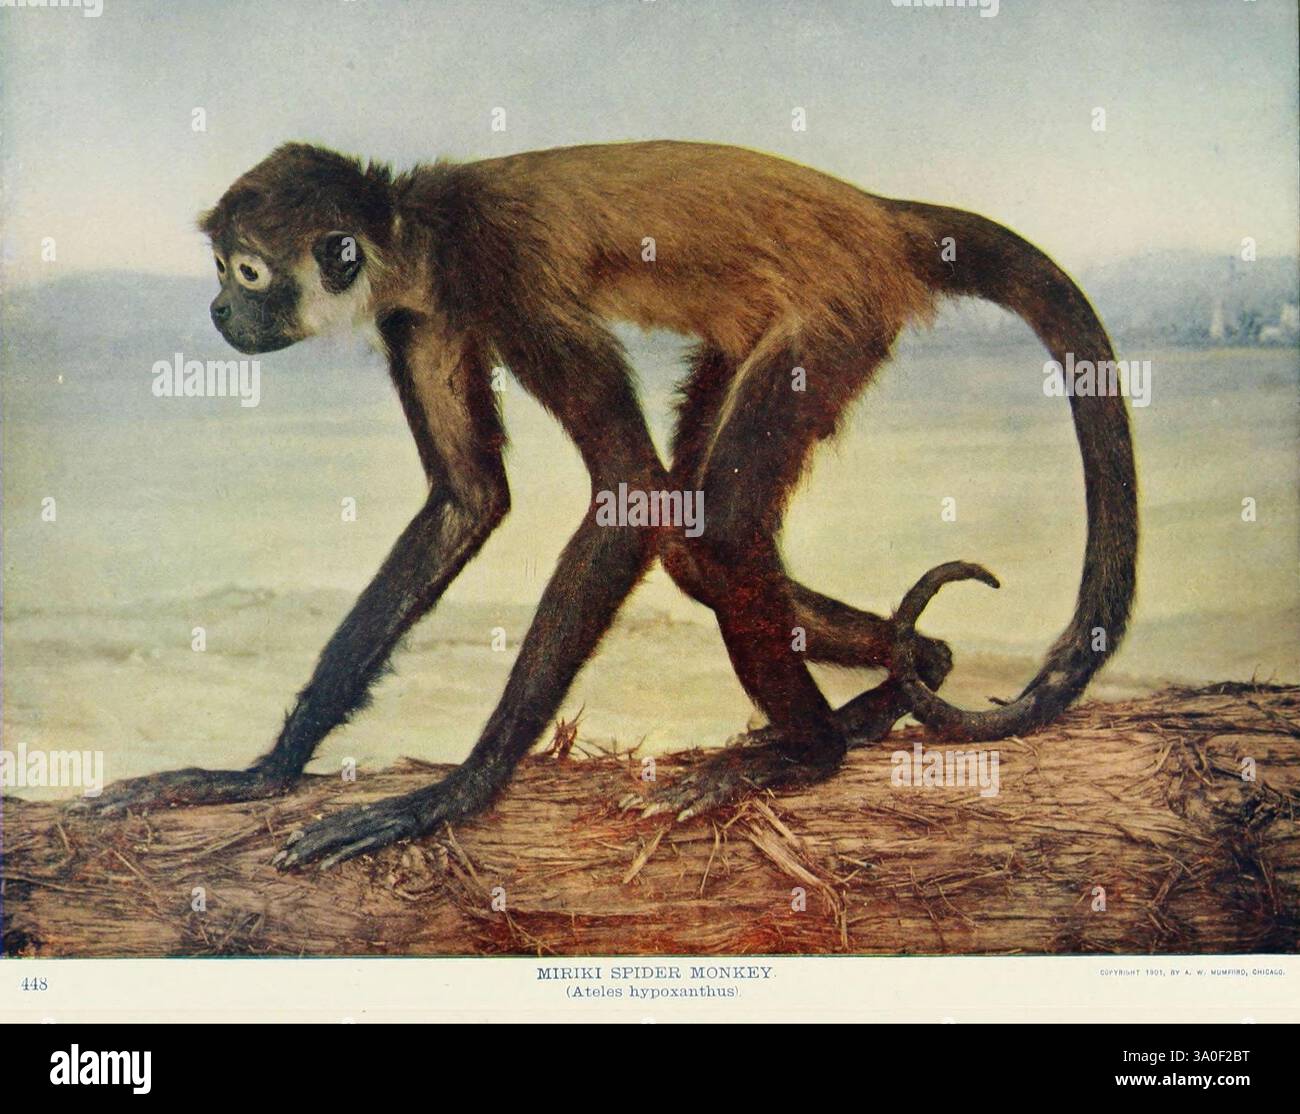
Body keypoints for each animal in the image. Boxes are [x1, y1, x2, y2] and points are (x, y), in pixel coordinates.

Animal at [79, 140, 1137, 869]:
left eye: (245, 270)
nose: (218, 311)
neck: (425, 229)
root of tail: (879, 215)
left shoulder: (501, 277)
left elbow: (628, 494)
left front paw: (457, 794)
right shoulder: (424, 309)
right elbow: (468, 501)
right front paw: (264, 771)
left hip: (837, 311)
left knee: (715, 525)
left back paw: (812, 753)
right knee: (700, 545)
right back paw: (916, 669)